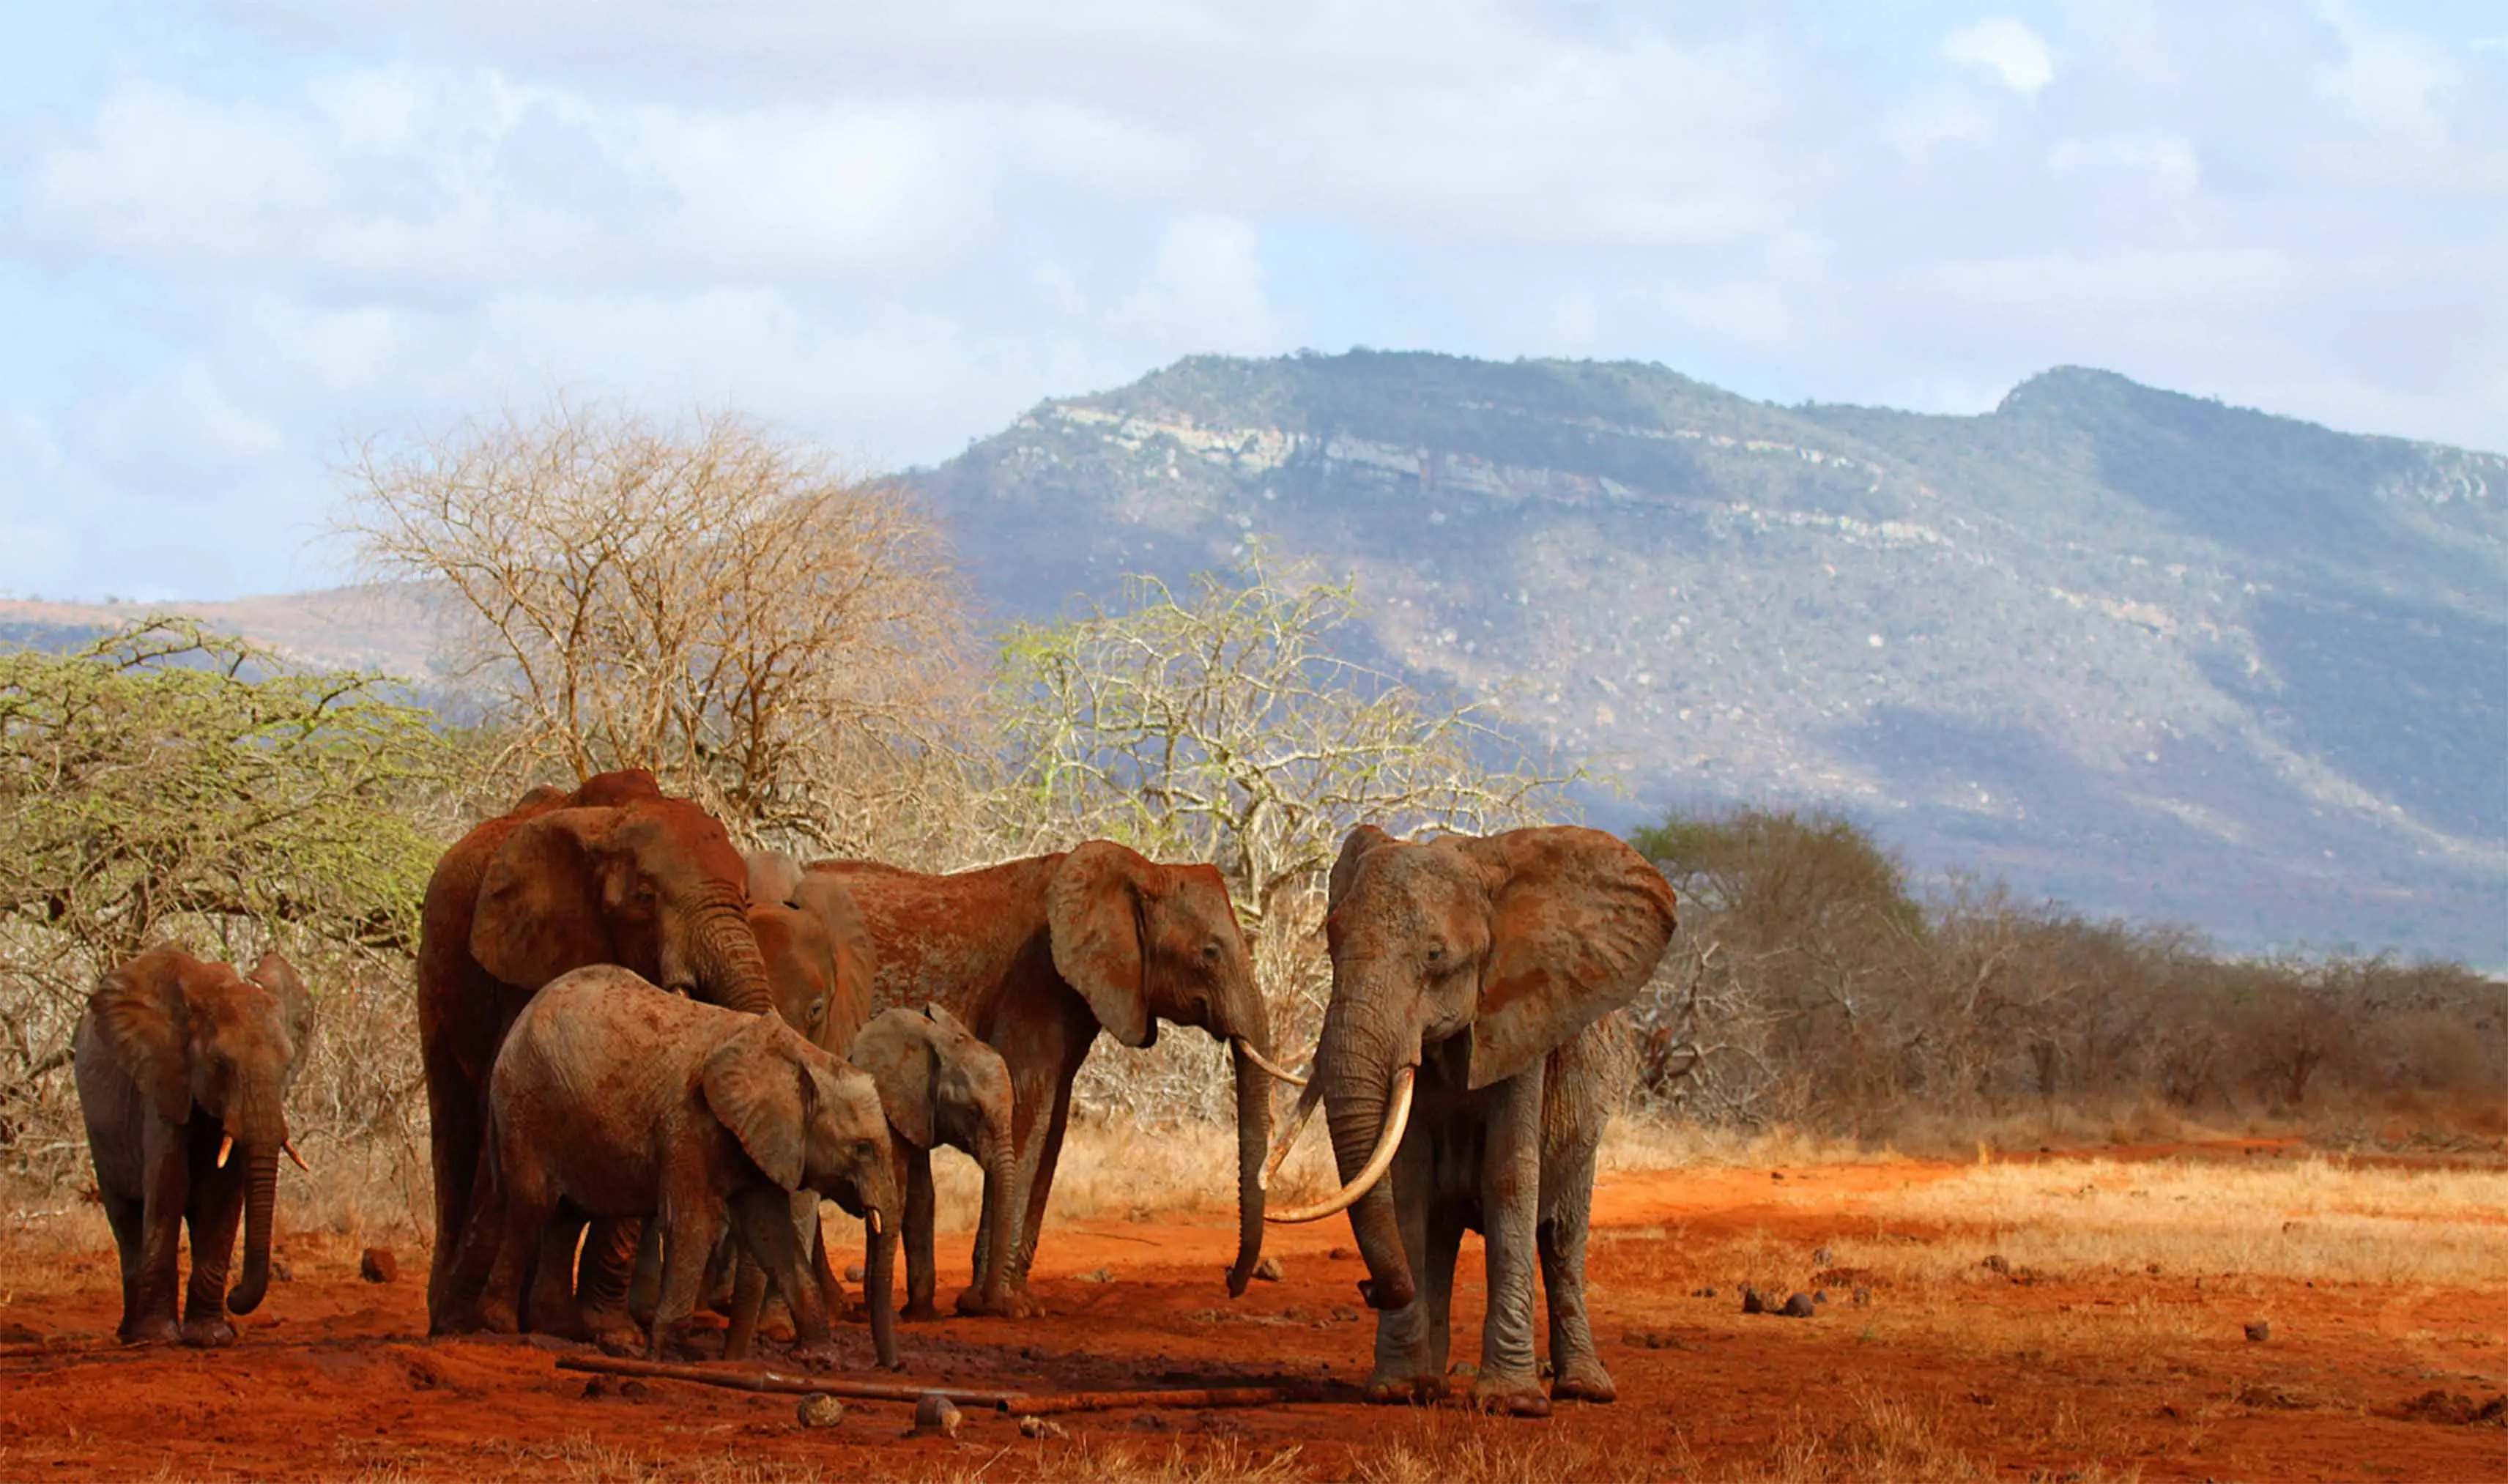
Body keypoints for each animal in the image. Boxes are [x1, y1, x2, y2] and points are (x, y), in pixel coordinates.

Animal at [73, 946, 314, 1347]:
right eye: (220, 1064)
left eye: (287, 1066)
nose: (235, 1296)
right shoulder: (162, 1084)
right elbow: (168, 1187)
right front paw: (160, 1338)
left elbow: (224, 1196)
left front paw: (211, 1337)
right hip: (100, 1133)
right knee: (124, 1217)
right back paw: (131, 1336)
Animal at [417, 768, 776, 1332]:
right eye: (646, 898)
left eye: (744, 897)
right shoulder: (531, 952)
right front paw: (467, 1323)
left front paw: (610, 1335)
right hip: (436, 969)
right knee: (455, 1127)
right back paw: (451, 1318)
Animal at [453, 964, 903, 1367]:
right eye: (864, 1149)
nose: (889, 1367)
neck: (800, 1057)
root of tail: (521, 1021)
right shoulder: (689, 1123)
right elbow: (693, 1223)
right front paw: (670, 1353)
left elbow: (769, 1231)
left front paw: (820, 1358)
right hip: (524, 1106)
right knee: (533, 1207)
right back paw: (500, 1325)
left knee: (569, 1213)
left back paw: (564, 1329)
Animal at [847, 1004, 1019, 1321]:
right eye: (973, 1112)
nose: (984, 1304)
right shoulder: (886, 1113)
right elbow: (897, 1198)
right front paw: (891, 1316)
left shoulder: (916, 1115)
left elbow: (921, 1199)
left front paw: (920, 1315)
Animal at [1268, 825, 1677, 1416]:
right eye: (1331, 941)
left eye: (1435, 955)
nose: (1367, 1289)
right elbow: (1406, 1182)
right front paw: (1397, 1392)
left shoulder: (1522, 1024)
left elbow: (1509, 1178)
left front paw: (1513, 1404)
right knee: (1441, 1238)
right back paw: (1431, 1387)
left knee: (1562, 1241)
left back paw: (1585, 1389)